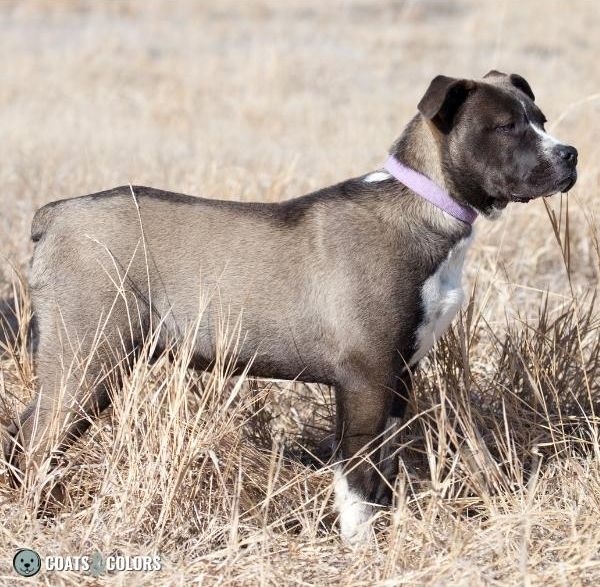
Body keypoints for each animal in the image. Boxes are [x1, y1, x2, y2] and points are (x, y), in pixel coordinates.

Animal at [3, 71, 576, 544]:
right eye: (506, 127)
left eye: (542, 120)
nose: (570, 155)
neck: (426, 205)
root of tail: (53, 216)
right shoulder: (365, 379)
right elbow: (357, 478)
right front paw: (360, 547)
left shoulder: (399, 377)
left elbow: (383, 474)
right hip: (88, 358)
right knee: (39, 440)